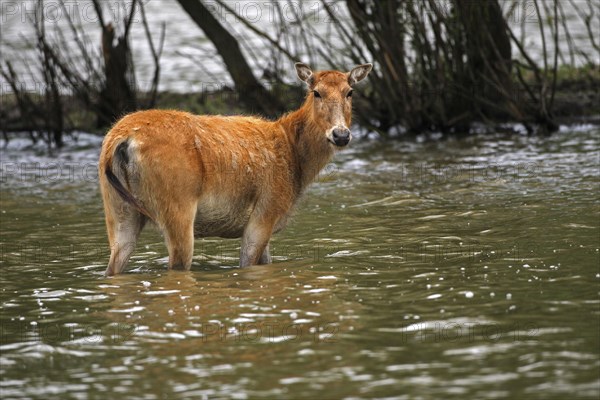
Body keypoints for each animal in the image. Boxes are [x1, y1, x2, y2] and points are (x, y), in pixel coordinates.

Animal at [98, 61, 370, 276]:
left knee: (114, 264)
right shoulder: (267, 209)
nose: (341, 135)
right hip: (177, 204)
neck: (297, 164)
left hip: (117, 208)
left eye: (349, 92)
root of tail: (121, 142)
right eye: (316, 92)